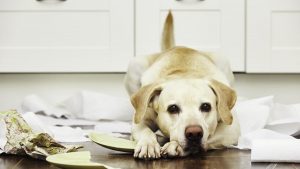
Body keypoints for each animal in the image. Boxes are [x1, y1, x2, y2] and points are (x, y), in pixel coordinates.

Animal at [123, 11, 239, 158]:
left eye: (206, 106)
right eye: (173, 108)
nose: (194, 133)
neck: (184, 72)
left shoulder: (231, 129)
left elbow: (210, 136)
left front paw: (175, 145)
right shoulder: (141, 119)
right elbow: (145, 130)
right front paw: (148, 144)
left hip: (223, 61)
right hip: (134, 64)